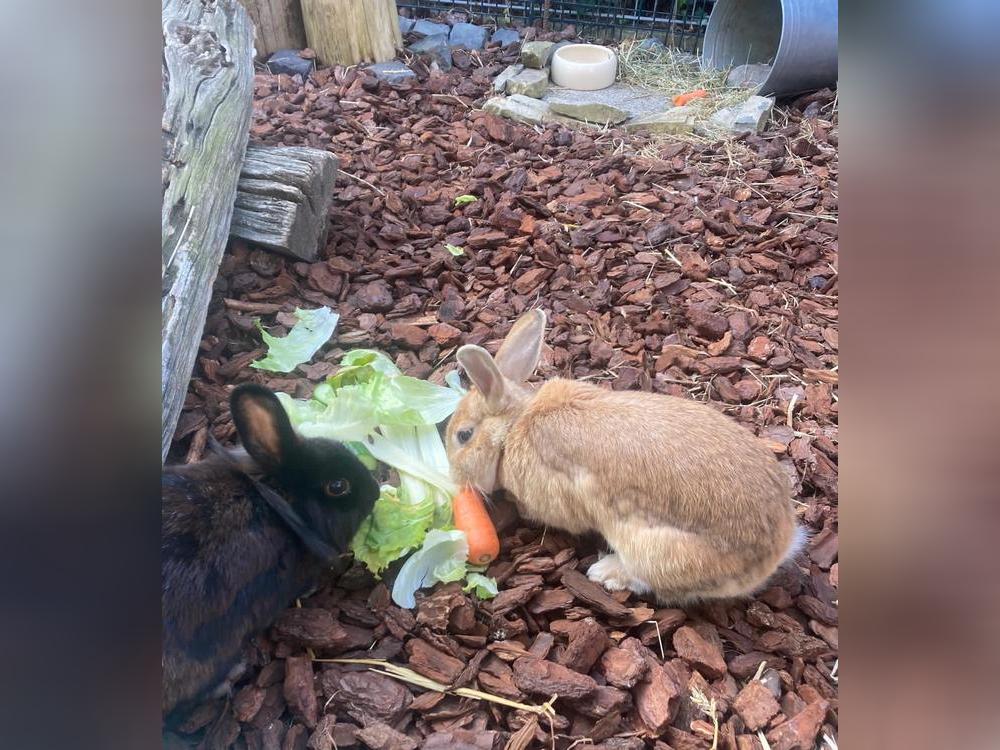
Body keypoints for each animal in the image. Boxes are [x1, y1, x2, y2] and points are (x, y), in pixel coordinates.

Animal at [446, 310, 804, 604]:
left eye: (463, 435)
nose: (455, 481)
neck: (515, 424)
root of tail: (779, 546)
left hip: (653, 550)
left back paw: (604, 572)